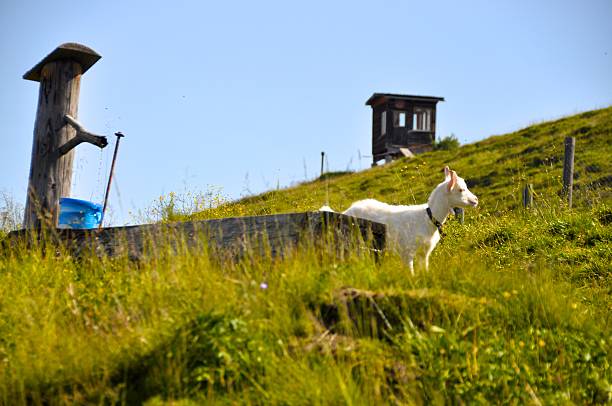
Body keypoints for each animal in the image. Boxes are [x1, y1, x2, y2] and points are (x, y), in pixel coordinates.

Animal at [330, 167, 478, 274]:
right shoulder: (407, 251)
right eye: (461, 190)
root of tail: (346, 212)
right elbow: (410, 272)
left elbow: (424, 270)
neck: (428, 218)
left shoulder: (424, 252)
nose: (476, 200)